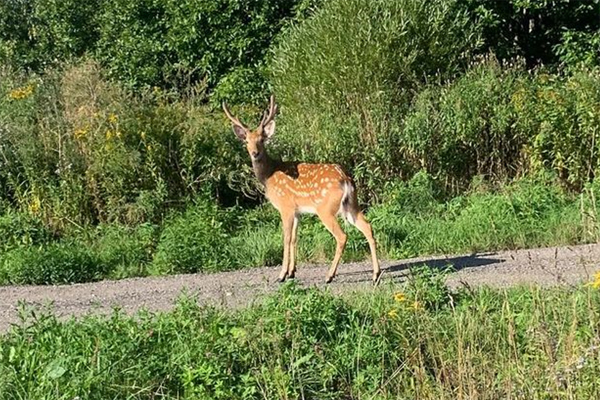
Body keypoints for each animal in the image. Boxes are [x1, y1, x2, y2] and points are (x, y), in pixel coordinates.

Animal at [223, 96, 382, 284]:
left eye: (261, 140)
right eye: (247, 141)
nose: (254, 153)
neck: (269, 176)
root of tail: (345, 178)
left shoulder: (285, 206)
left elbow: (286, 238)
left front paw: (281, 275)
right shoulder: (297, 211)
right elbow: (294, 238)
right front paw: (292, 272)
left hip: (325, 208)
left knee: (342, 236)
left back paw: (329, 276)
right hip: (351, 205)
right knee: (368, 227)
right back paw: (375, 274)